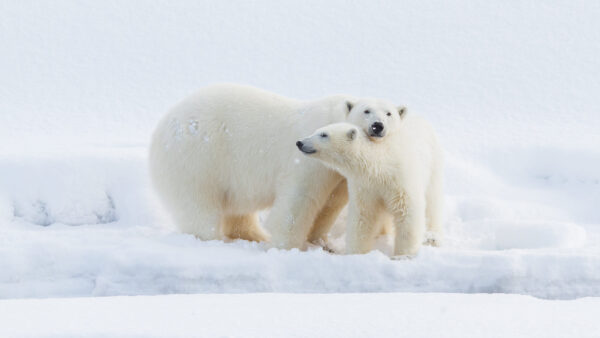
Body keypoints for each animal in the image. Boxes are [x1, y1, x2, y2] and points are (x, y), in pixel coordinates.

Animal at [149, 84, 404, 248]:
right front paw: (288, 245)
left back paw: (255, 235)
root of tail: (161, 128)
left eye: (389, 114)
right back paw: (212, 238)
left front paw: (321, 242)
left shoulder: (339, 173)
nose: (377, 126)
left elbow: (330, 204)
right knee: (198, 205)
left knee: (238, 209)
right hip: (198, 158)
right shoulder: (308, 161)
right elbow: (298, 200)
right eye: (366, 111)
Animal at [296, 115, 442, 256]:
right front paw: (356, 254)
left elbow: (407, 213)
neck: (380, 166)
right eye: (316, 131)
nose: (300, 142)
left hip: (433, 163)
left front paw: (402, 255)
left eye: (323, 134)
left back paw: (432, 237)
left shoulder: (400, 180)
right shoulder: (366, 186)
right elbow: (363, 216)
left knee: (432, 201)